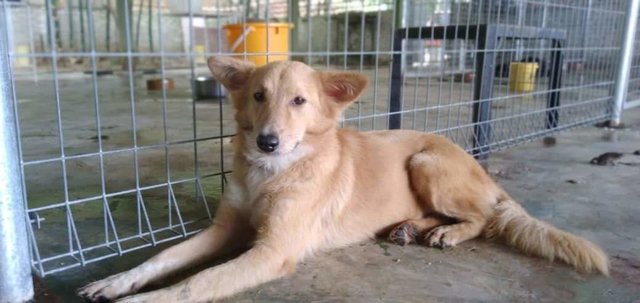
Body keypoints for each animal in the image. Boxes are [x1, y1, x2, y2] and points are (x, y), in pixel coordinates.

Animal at [80, 56, 608, 302]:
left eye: (299, 102)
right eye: (258, 96)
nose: (267, 142)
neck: (271, 175)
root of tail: (479, 166)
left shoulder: (272, 250)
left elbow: (196, 281)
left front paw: (149, 297)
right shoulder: (224, 229)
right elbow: (164, 258)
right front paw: (114, 281)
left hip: (425, 163)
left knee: (484, 217)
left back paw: (447, 233)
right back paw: (409, 228)